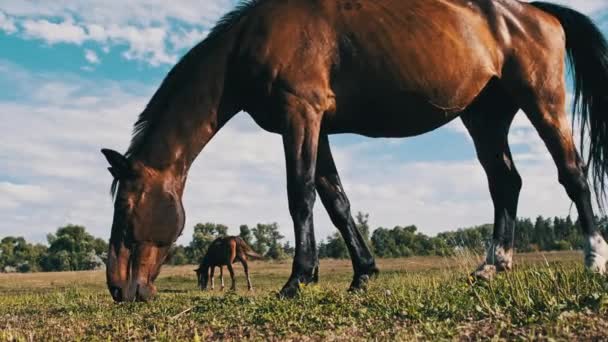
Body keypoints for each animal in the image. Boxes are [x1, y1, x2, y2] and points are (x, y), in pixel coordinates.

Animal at [102, 0, 608, 300]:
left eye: (125, 209)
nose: (120, 289)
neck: (249, 44)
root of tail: (539, 12)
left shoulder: (300, 115)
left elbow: (301, 194)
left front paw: (297, 279)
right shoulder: (316, 126)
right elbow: (336, 201)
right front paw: (363, 274)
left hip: (542, 100)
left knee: (572, 173)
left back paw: (594, 259)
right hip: (485, 117)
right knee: (505, 182)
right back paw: (492, 266)